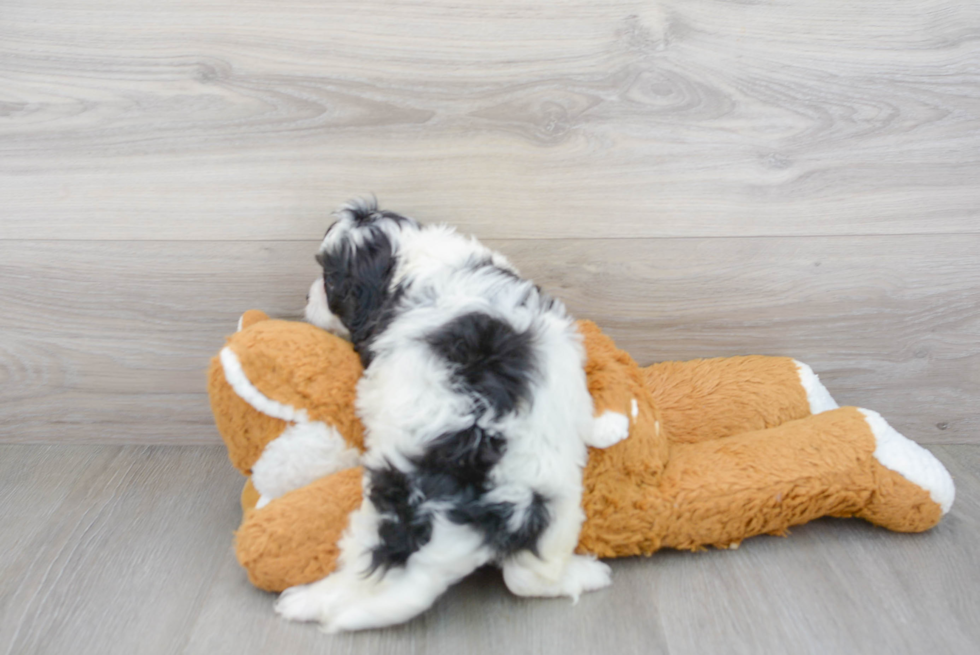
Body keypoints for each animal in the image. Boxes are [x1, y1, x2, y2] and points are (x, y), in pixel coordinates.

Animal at [278, 199, 620, 632]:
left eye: (329, 281)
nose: (306, 296)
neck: (413, 261)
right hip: (555, 505)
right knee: (528, 576)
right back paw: (586, 574)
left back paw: (306, 600)